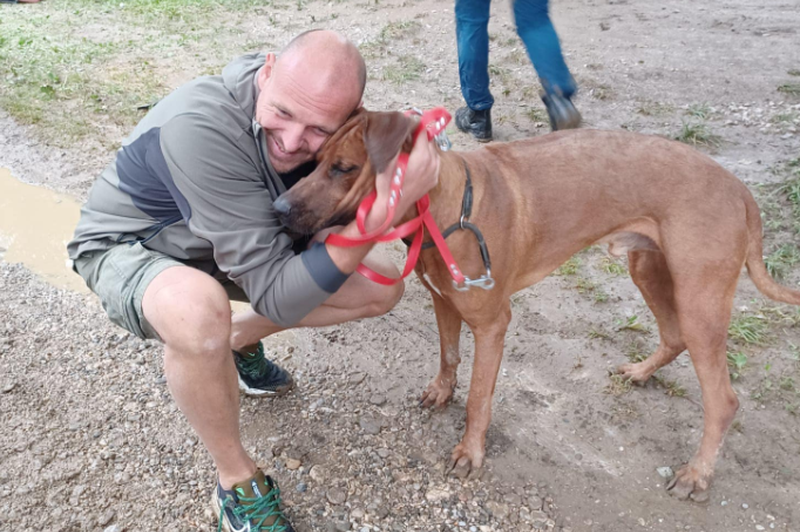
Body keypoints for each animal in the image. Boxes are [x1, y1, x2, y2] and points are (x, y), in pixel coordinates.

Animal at [276, 110, 800, 500]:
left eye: (344, 168)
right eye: (315, 160)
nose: (277, 210)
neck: (447, 208)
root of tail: (742, 191)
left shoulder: (492, 324)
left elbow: (479, 399)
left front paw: (471, 451)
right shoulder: (445, 302)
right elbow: (448, 356)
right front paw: (442, 392)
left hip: (698, 302)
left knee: (723, 401)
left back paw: (697, 473)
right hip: (649, 269)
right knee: (672, 338)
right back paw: (640, 372)